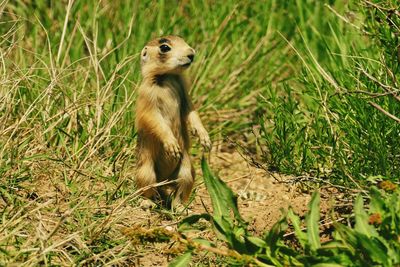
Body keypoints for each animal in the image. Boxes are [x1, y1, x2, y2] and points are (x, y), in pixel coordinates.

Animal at [134, 35, 211, 207]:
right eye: (164, 47)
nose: (191, 54)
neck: (166, 77)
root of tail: (164, 180)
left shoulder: (184, 90)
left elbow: (191, 111)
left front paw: (205, 139)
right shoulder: (146, 94)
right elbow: (154, 118)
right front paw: (172, 145)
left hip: (187, 170)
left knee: (180, 189)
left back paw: (180, 207)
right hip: (146, 171)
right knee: (147, 190)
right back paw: (147, 203)